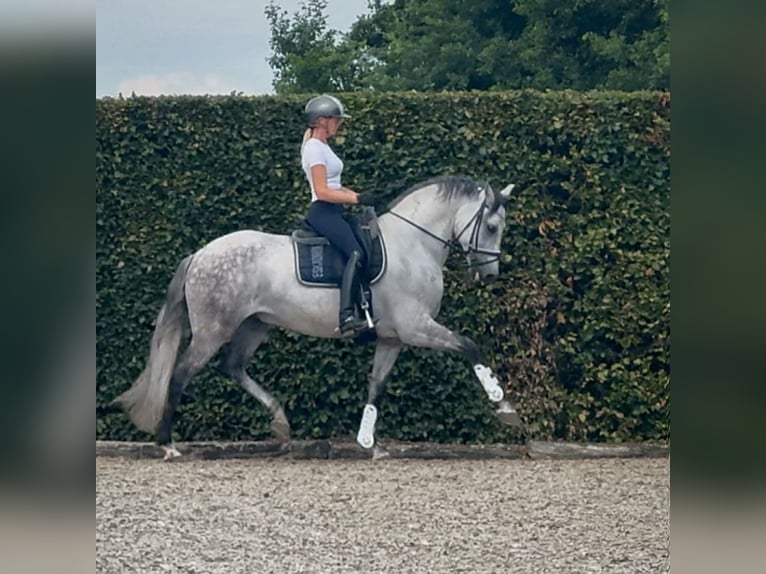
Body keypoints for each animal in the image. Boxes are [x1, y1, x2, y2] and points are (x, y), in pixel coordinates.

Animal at [112, 174, 522, 459]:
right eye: (491, 227)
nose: (489, 274)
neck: (413, 244)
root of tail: (199, 254)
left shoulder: (393, 338)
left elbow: (376, 386)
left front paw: (370, 444)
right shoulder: (416, 327)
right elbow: (469, 346)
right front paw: (503, 405)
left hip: (255, 325)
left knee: (233, 366)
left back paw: (280, 423)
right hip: (214, 330)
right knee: (181, 373)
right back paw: (168, 444)